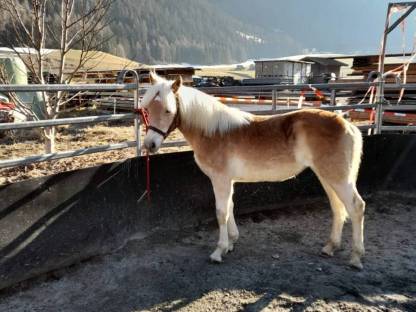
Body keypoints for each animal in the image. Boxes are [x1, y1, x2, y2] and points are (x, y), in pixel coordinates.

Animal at [139, 70, 364, 268]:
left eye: (168, 110)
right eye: (147, 109)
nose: (150, 144)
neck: (213, 132)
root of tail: (347, 124)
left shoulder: (220, 179)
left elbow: (221, 212)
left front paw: (219, 251)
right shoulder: (227, 180)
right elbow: (230, 207)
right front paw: (231, 242)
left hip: (338, 178)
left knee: (356, 207)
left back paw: (355, 257)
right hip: (326, 176)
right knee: (337, 207)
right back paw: (330, 247)